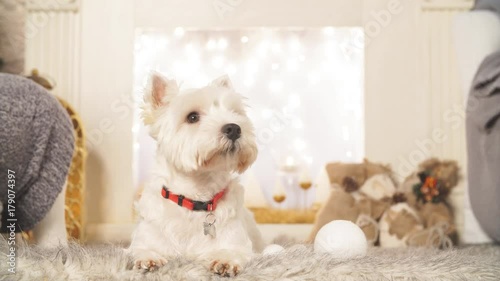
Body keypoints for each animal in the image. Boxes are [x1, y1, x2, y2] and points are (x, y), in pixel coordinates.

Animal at [127, 72, 264, 276]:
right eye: (192, 117)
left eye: (235, 113)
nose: (234, 128)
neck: (196, 196)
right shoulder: (146, 237)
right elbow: (142, 248)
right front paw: (149, 258)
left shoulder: (238, 242)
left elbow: (233, 251)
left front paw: (225, 260)